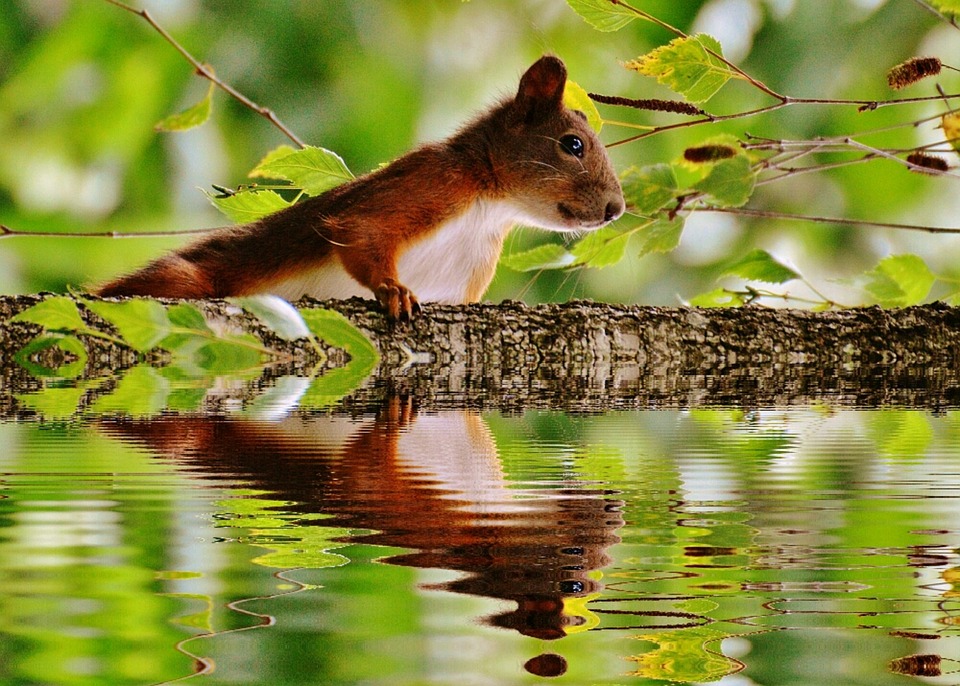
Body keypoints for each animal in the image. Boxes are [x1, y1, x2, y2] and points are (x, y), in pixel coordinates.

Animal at [95, 56, 625, 320]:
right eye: (573, 145)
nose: (616, 209)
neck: (489, 210)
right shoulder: (432, 181)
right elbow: (361, 229)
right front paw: (393, 291)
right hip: (187, 281)